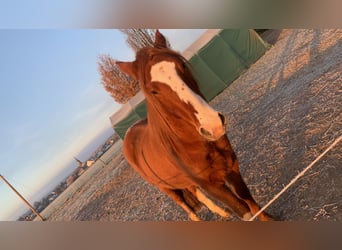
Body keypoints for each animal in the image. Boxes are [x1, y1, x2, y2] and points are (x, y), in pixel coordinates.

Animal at [116, 29, 272, 221]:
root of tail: (128, 134)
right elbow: (244, 211)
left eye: (182, 65)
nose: (213, 125)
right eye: (153, 91)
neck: (189, 143)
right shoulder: (210, 185)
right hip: (166, 188)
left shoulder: (231, 166)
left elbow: (248, 199)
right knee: (186, 206)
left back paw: (221, 212)